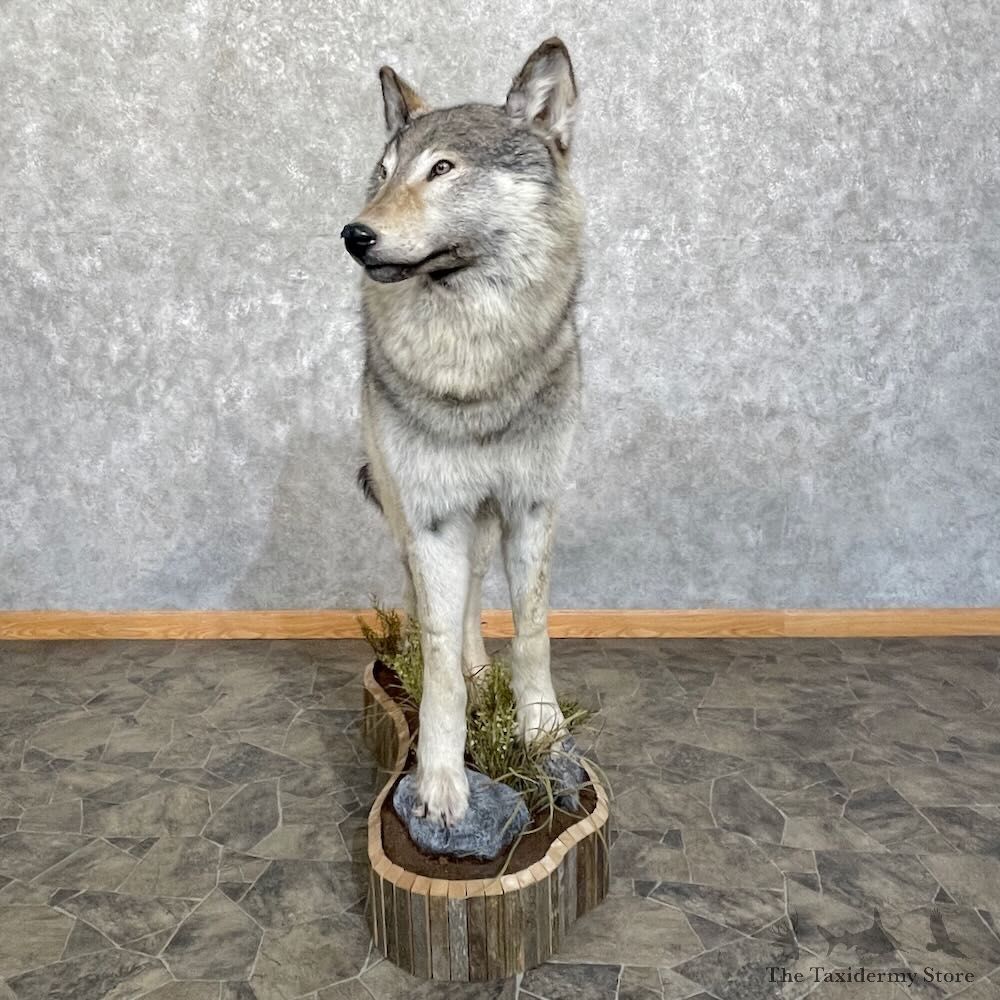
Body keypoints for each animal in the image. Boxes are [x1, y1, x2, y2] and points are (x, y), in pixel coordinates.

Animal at [342, 38, 584, 826]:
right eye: (384, 172)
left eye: (442, 169)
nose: (355, 233)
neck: (473, 369)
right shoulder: (434, 518)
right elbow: (440, 657)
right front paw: (442, 781)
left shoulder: (531, 505)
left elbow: (533, 631)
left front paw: (543, 736)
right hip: (413, 518)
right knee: (437, 613)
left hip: (481, 526)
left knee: (477, 597)